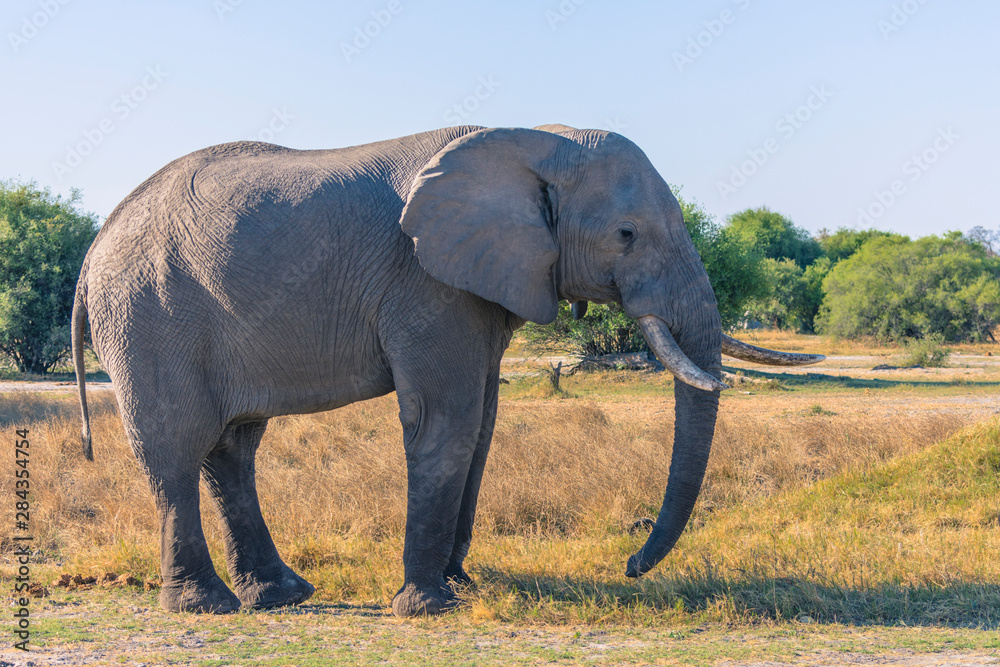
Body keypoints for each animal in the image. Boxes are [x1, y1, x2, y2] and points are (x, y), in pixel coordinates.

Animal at [72, 124, 823, 617]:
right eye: (626, 235)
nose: (631, 562)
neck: (535, 138)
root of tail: (91, 251)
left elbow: (482, 427)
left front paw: (460, 586)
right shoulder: (426, 281)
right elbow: (447, 422)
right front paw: (429, 605)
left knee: (233, 449)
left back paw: (279, 595)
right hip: (148, 315)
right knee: (176, 449)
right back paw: (206, 606)